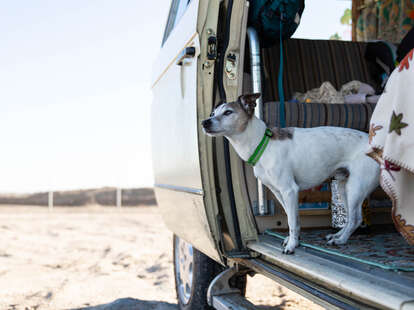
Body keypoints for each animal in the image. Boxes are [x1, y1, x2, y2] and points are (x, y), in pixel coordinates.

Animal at [202, 94, 380, 254]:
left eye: (228, 112)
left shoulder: (289, 190)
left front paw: (292, 245)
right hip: (344, 188)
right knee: (350, 217)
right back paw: (337, 235)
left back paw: (341, 240)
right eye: (212, 113)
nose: (204, 122)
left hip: (356, 188)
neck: (263, 144)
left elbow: (292, 221)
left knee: (356, 219)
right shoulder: (278, 192)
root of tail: (377, 148)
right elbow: (290, 216)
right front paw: (293, 239)